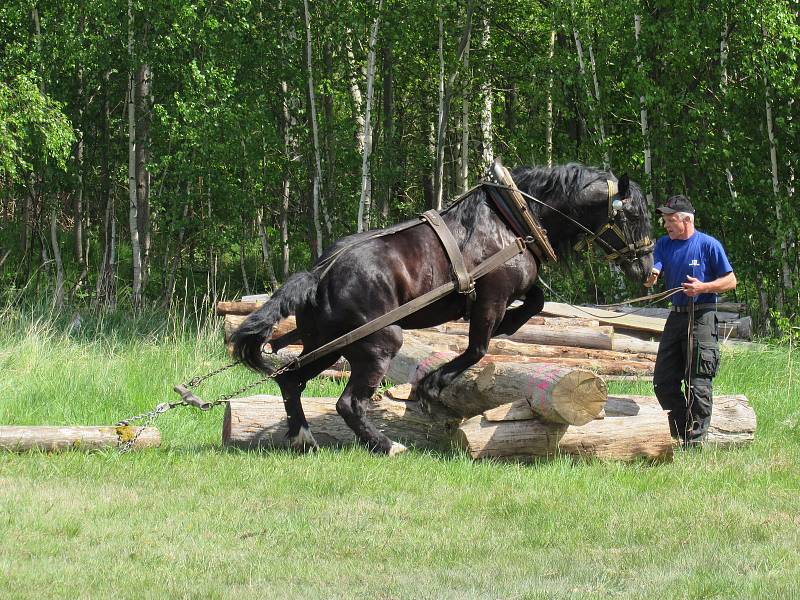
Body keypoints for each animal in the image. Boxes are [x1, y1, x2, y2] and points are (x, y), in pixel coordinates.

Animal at [230, 164, 648, 454]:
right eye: (634, 216)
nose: (648, 269)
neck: (512, 219)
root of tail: (319, 274)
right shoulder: (492, 297)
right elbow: (478, 347)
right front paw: (432, 384)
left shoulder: (514, 290)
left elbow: (536, 301)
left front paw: (510, 325)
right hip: (378, 342)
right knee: (348, 403)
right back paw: (386, 446)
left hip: (328, 344)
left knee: (290, 380)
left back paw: (302, 437)